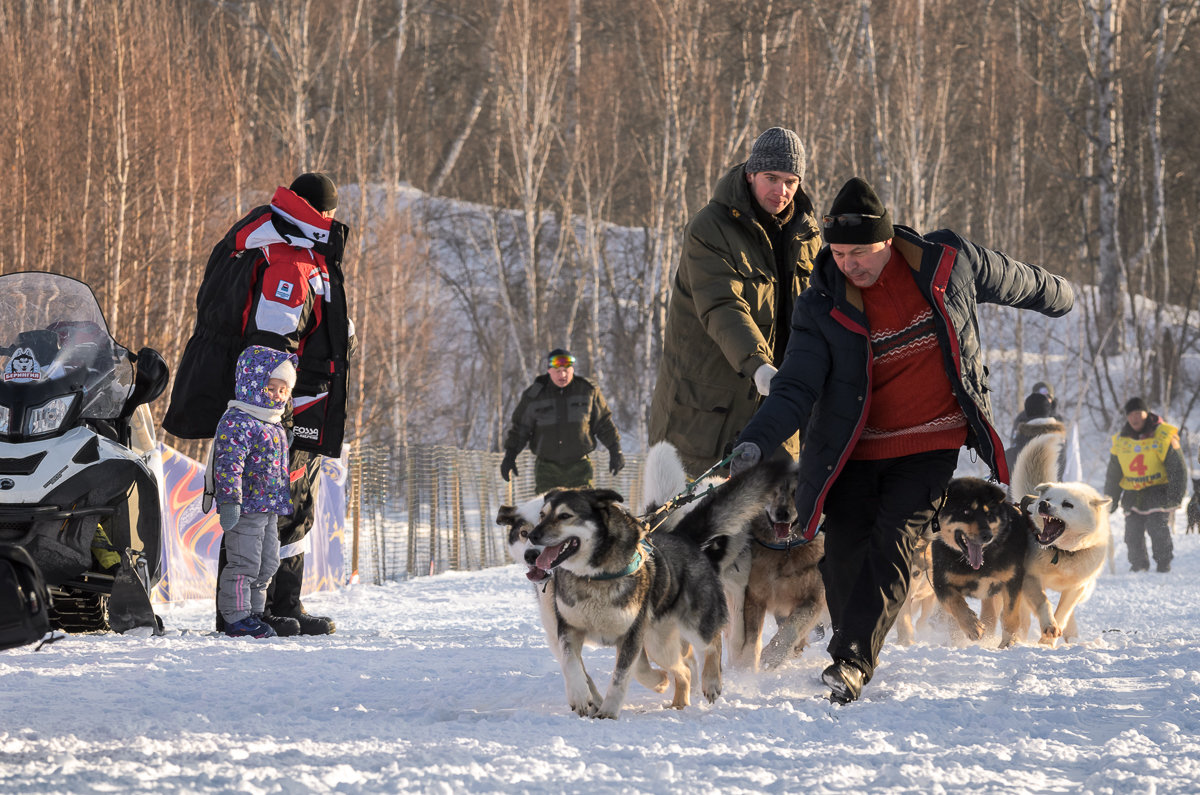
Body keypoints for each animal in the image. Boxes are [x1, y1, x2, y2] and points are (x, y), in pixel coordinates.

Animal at [926, 475, 1032, 653]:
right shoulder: (941, 583)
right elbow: (956, 603)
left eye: (989, 514)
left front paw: (1008, 643)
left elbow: (1010, 615)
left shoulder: (1012, 580)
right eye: (966, 512)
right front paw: (973, 627)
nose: (987, 535)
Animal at [1008, 429, 1108, 648]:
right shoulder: (1031, 578)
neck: (1062, 552)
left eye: (1067, 504)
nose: (1043, 504)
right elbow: (1043, 602)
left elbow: (1063, 612)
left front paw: (1048, 640)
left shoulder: (1076, 587)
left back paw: (1071, 636)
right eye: (1049, 499)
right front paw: (1048, 627)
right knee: (1025, 615)